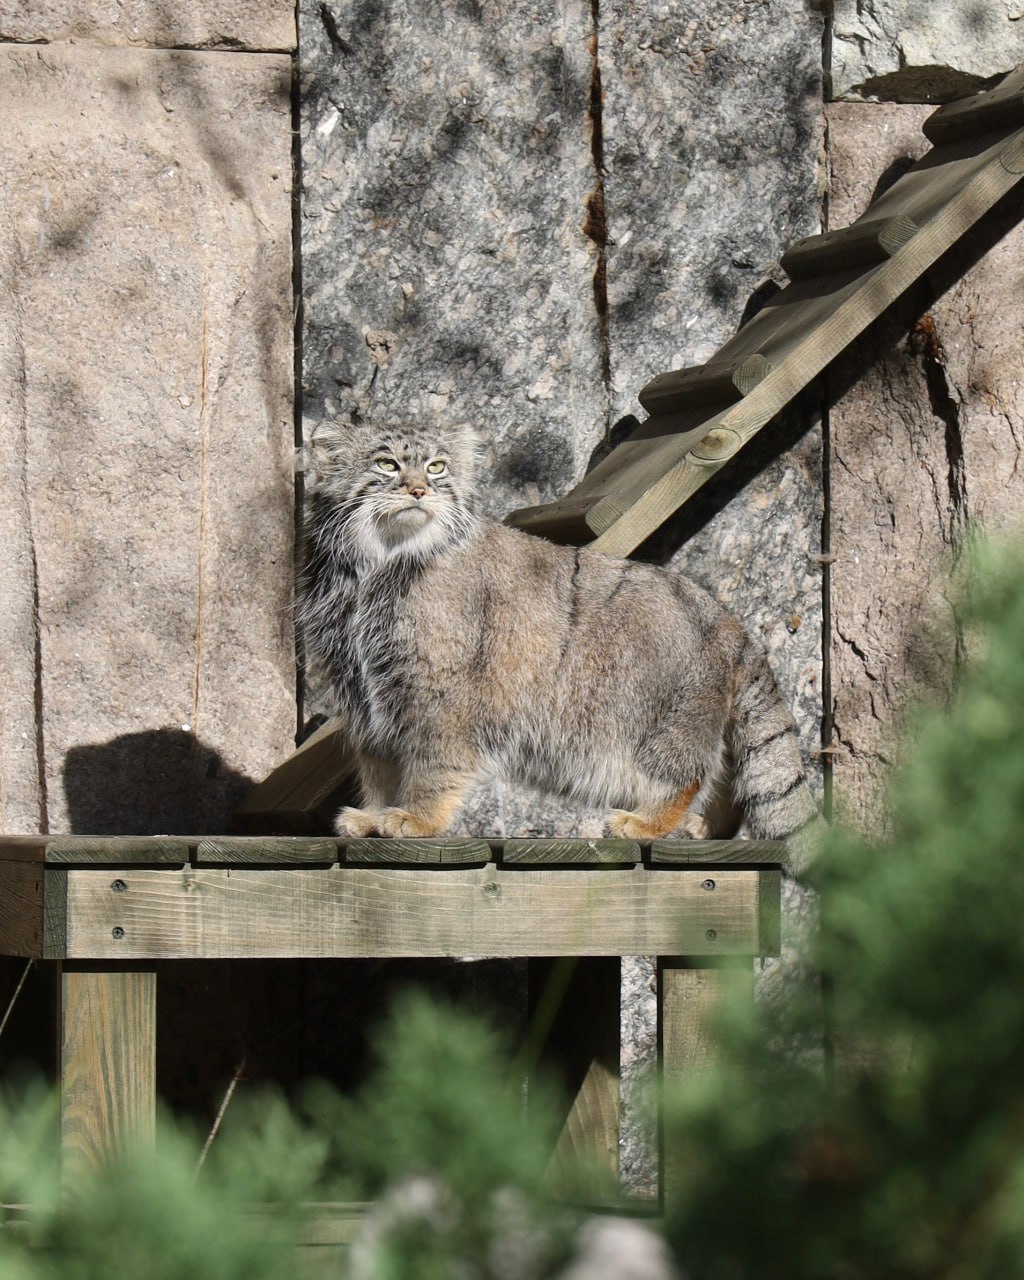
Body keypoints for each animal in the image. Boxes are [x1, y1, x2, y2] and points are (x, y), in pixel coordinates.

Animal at [298, 422, 814, 839]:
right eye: (386, 463)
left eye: (437, 467)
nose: (420, 490)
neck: (376, 569)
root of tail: (730, 621)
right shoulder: (365, 694)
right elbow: (378, 768)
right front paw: (373, 816)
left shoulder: (440, 695)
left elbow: (432, 764)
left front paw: (418, 819)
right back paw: (703, 828)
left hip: (658, 728)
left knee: (687, 776)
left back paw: (646, 824)